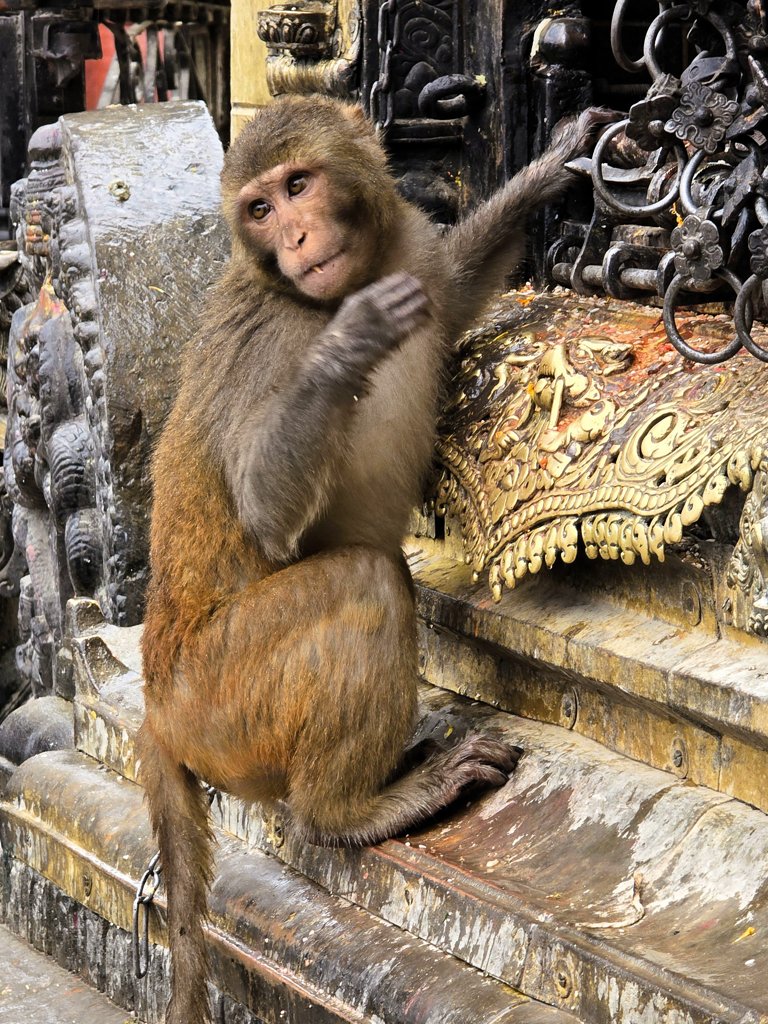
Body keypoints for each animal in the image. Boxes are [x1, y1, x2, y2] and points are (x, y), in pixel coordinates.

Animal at [136, 96, 608, 1024]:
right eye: (257, 209)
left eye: (296, 185)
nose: (294, 237)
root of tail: (159, 709)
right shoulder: (271, 340)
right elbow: (265, 511)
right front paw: (347, 346)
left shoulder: (414, 253)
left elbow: (455, 287)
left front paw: (551, 168)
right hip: (220, 701)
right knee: (365, 583)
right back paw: (347, 812)